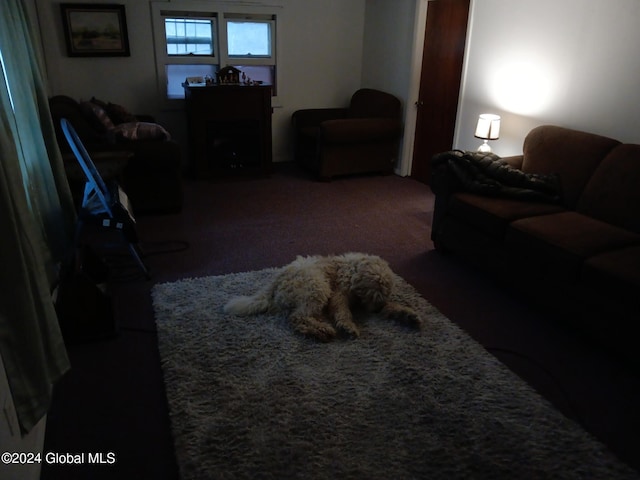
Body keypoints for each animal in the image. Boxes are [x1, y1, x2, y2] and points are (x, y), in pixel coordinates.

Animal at [222, 251, 422, 342]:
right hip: (317, 286)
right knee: (297, 318)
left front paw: (409, 315)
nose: (378, 309)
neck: (351, 271)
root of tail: (273, 284)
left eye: (385, 293)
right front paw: (348, 326)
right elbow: (342, 312)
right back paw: (322, 330)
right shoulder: (339, 296)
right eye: (373, 292)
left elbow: (393, 307)